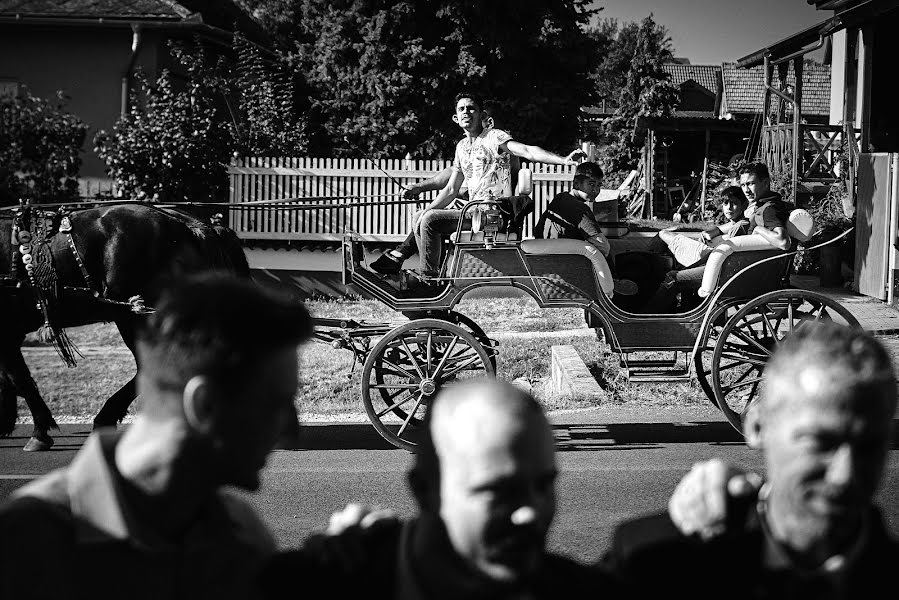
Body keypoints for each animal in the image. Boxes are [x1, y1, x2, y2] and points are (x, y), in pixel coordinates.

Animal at [0, 202, 248, 450]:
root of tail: (190, 225)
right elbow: (12, 379)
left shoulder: (8, 333)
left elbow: (20, 381)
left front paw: (39, 432)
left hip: (135, 318)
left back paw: (107, 418)